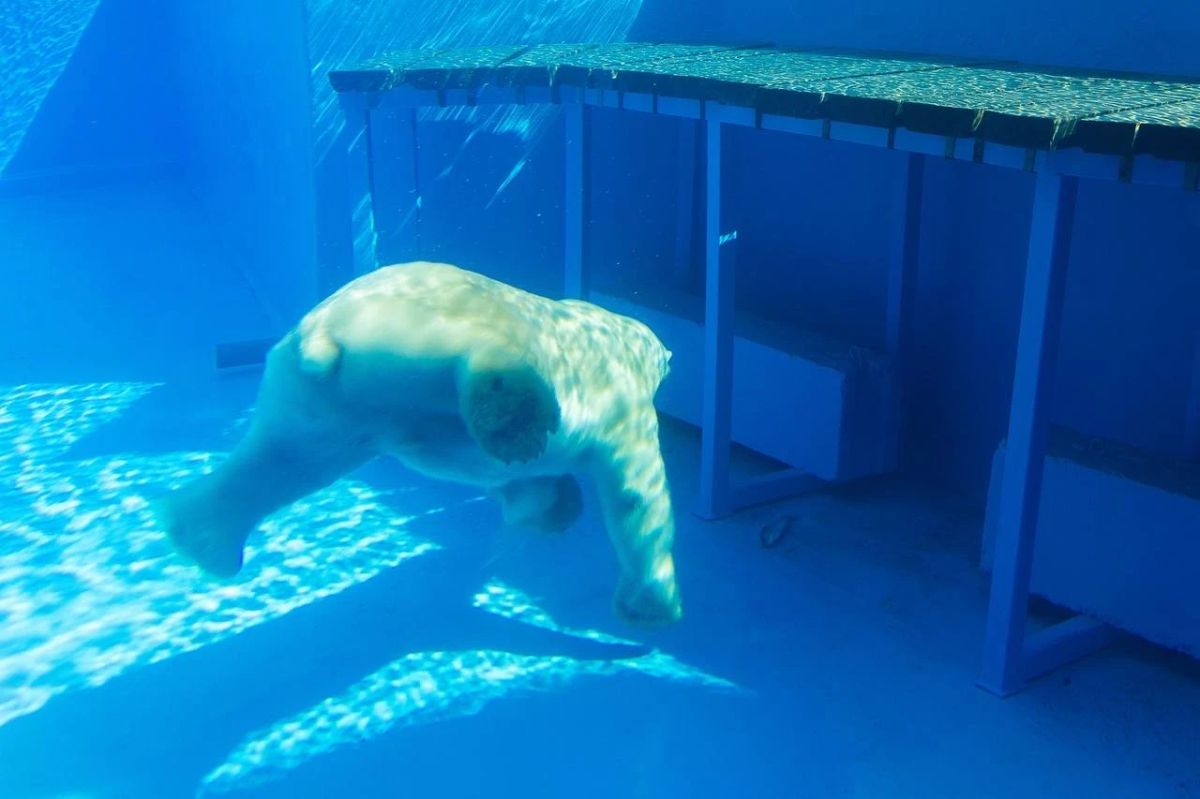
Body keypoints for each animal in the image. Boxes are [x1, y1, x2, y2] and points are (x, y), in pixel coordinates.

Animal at [160, 261, 681, 625]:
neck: (621, 335)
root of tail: (322, 331)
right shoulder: (626, 405)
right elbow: (637, 495)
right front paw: (652, 606)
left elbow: (529, 492)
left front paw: (558, 506)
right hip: (414, 329)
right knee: (474, 349)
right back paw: (514, 418)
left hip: (318, 397)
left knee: (284, 460)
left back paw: (203, 536)